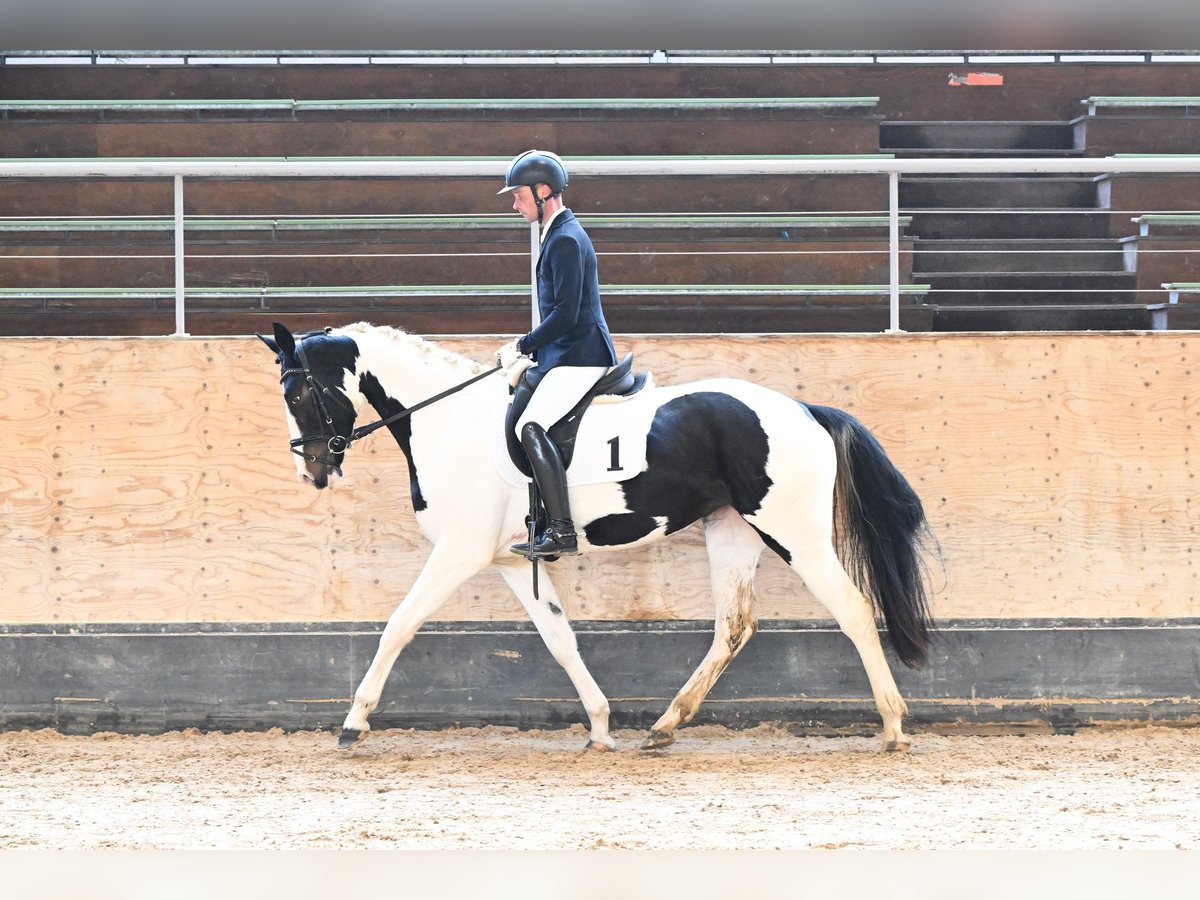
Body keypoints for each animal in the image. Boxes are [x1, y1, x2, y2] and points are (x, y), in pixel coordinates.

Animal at [260, 321, 936, 753]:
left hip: (794, 531)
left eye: (298, 391)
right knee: (734, 626)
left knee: (853, 610)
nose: (311, 471)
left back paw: (893, 727)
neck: (450, 420)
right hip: (733, 530)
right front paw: (601, 726)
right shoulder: (511, 561)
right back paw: (663, 728)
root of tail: (802, 409)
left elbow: (399, 624)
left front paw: (353, 724)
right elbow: (560, 639)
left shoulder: (459, 551)